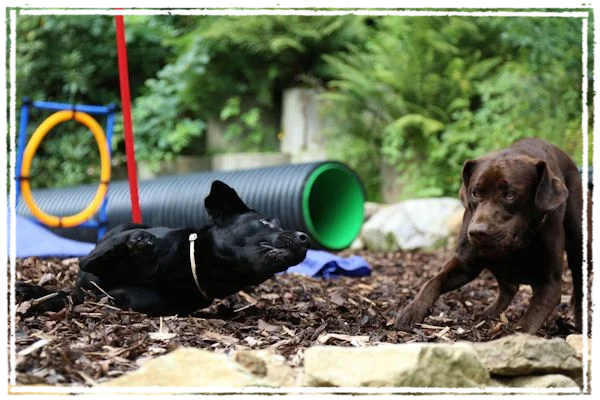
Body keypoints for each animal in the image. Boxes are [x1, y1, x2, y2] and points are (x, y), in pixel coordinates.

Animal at [14, 180, 310, 316]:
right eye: (265, 222)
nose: (305, 237)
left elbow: (136, 298)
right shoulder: (95, 262)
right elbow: (93, 260)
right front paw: (139, 243)